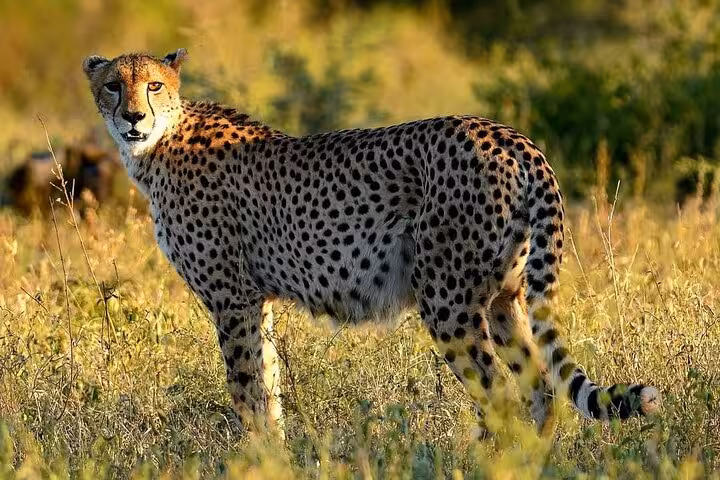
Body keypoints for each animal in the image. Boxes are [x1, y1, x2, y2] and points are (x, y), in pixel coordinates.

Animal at [82, 48, 660, 439]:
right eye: (113, 85)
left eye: (154, 85)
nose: (133, 116)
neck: (158, 146)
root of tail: (511, 135)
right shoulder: (255, 299)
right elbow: (268, 383)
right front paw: (276, 454)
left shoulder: (232, 298)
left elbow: (246, 387)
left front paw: (255, 456)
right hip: (503, 296)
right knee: (539, 389)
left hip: (447, 298)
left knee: (499, 395)